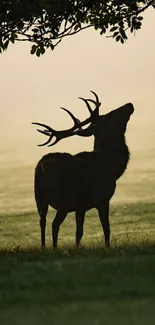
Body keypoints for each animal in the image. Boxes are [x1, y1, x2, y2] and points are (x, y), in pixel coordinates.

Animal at [32, 91, 134, 248]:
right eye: (108, 116)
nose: (129, 104)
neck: (112, 167)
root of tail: (41, 167)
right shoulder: (99, 199)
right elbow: (101, 229)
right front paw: (105, 247)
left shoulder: (84, 204)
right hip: (64, 198)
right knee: (52, 223)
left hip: (41, 197)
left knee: (47, 222)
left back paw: (48, 247)